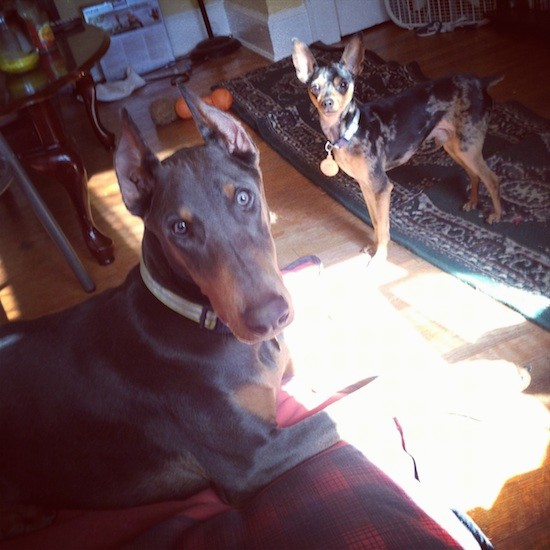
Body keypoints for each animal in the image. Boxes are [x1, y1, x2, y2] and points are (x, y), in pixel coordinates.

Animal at [294, 34, 504, 264]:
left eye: (343, 84)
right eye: (315, 87)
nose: (327, 103)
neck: (350, 130)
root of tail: (480, 82)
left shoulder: (382, 187)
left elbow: (383, 227)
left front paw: (380, 257)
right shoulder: (366, 186)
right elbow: (375, 222)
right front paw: (374, 247)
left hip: (467, 147)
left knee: (492, 179)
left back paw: (496, 215)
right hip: (456, 146)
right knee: (474, 175)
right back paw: (473, 202)